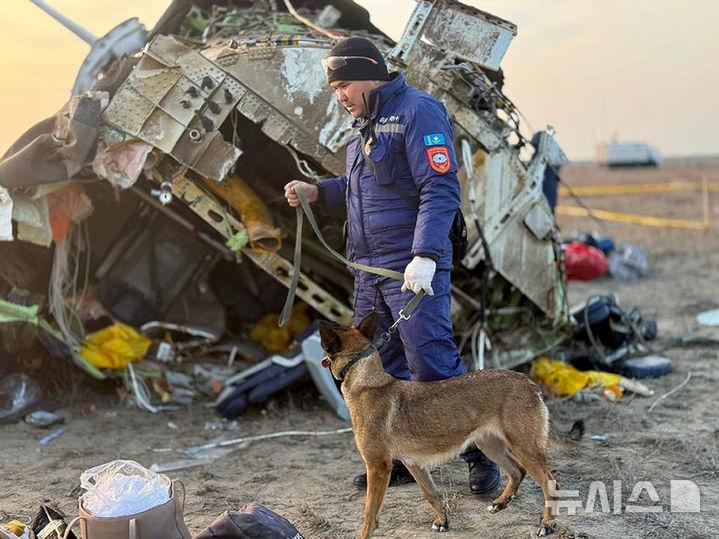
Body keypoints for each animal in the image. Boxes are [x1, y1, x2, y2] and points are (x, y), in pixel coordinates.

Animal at [320, 312, 564, 539]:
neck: (366, 381)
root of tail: (528, 382)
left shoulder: (377, 467)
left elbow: (370, 510)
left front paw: (364, 534)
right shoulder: (414, 464)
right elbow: (431, 494)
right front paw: (442, 521)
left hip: (524, 448)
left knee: (551, 485)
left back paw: (547, 524)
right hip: (490, 445)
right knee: (517, 471)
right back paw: (501, 503)